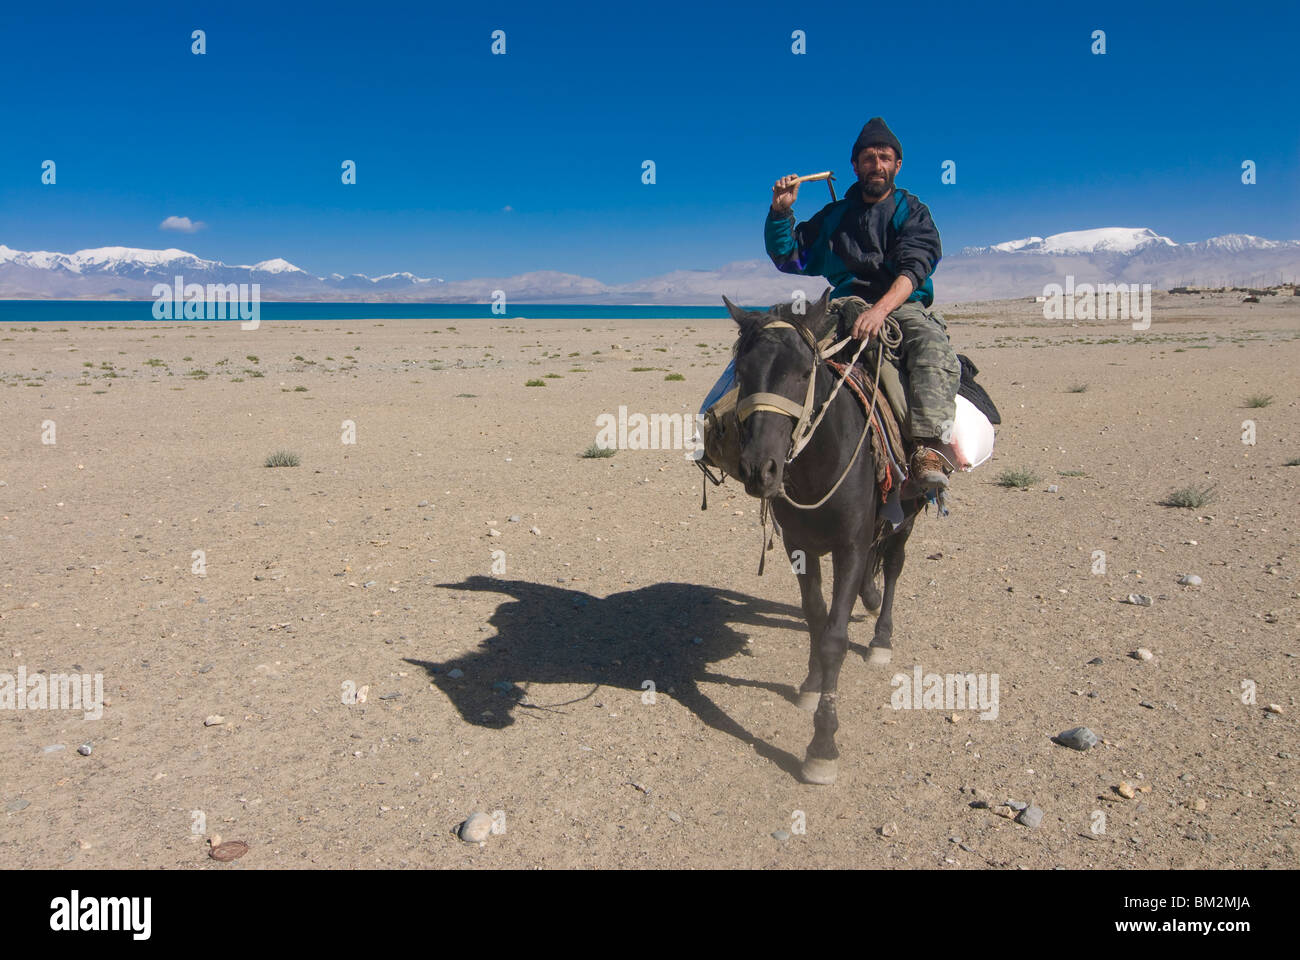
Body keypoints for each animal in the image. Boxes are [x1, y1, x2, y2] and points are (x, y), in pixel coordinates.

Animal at [728, 291, 920, 785]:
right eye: (742, 373)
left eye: (802, 372)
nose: (760, 469)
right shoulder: (799, 545)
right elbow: (815, 617)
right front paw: (812, 685)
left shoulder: (848, 547)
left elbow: (834, 637)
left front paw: (822, 745)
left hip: (908, 514)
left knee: (893, 565)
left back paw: (881, 638)